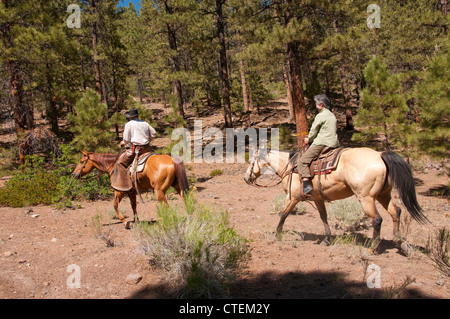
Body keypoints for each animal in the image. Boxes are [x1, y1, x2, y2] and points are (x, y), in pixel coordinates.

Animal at [244, 148, 430, 252]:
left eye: (252, 161)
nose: (246, 178)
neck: (291, 167)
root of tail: (380, 155)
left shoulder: (293, 197)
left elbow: (283, 214)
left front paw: (277, 234)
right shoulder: (318, 199)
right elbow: (324, 217)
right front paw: (326, 239)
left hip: (366, 197)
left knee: (377, 219)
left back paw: (374, 247)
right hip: (383, 195)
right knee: (395, 212)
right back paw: (399, 241)